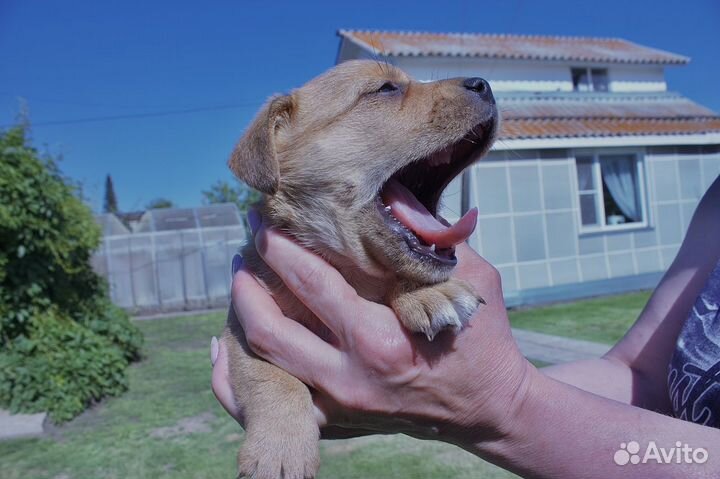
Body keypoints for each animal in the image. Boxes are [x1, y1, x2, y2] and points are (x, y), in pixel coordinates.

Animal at [222, 61, 498, 479]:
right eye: (385, 89)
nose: (485, 84)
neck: (348, 272)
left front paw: (428, 293)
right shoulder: (243, 324)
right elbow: (271, 376)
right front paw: (280, 450)